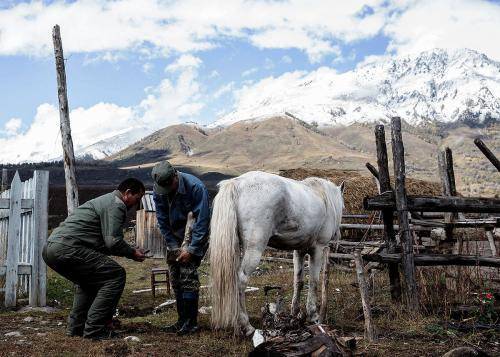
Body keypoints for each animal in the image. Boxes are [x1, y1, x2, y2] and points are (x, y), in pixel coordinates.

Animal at [208, 171, 344, 336]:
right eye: (343, 205)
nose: (338, 235)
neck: (323, 196)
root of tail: (237, 183)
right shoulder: (318, 249)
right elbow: (313, 281)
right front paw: (314, 315)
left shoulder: (298, 251)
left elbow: (298, 281)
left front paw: (295, 312)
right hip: (254, 250)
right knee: (241, 281)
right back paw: (246, 325)